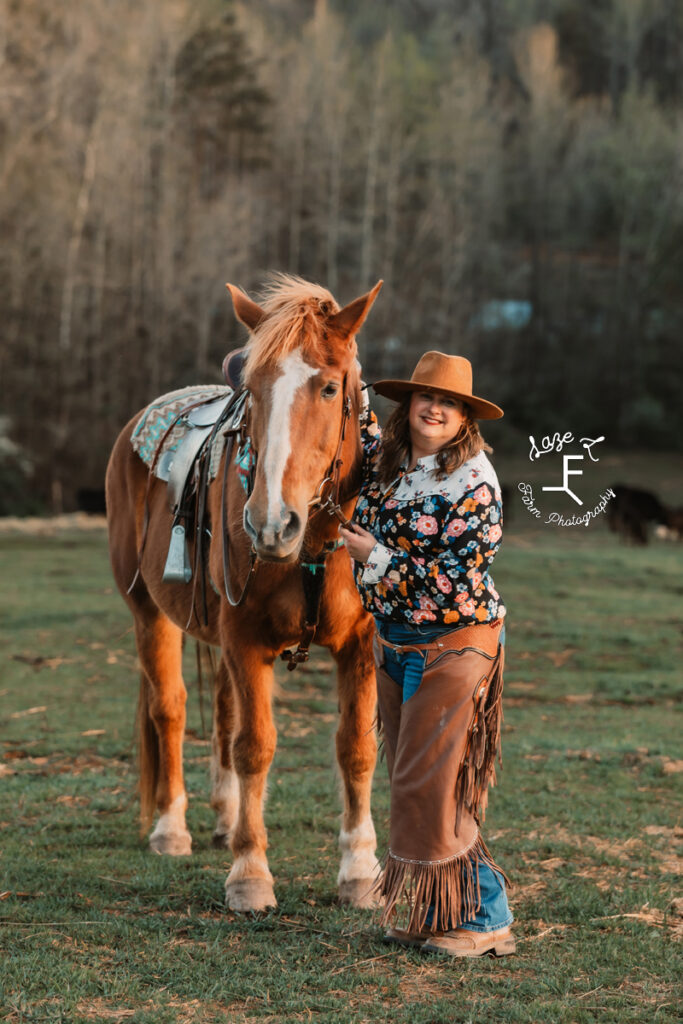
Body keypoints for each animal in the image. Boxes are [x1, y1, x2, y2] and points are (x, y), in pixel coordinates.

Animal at [107, 274, 385, 913]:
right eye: (253, 392)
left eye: (329, 387)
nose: (270, 523)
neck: (314, 543)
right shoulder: (245, 638)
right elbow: (255, 745)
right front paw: (250, 874)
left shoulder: (361, 644)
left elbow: (356, 747)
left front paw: (361, 871)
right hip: (149, 613)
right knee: (172, 709)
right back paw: (172, 828)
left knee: (224, 714)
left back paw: (224, 819)